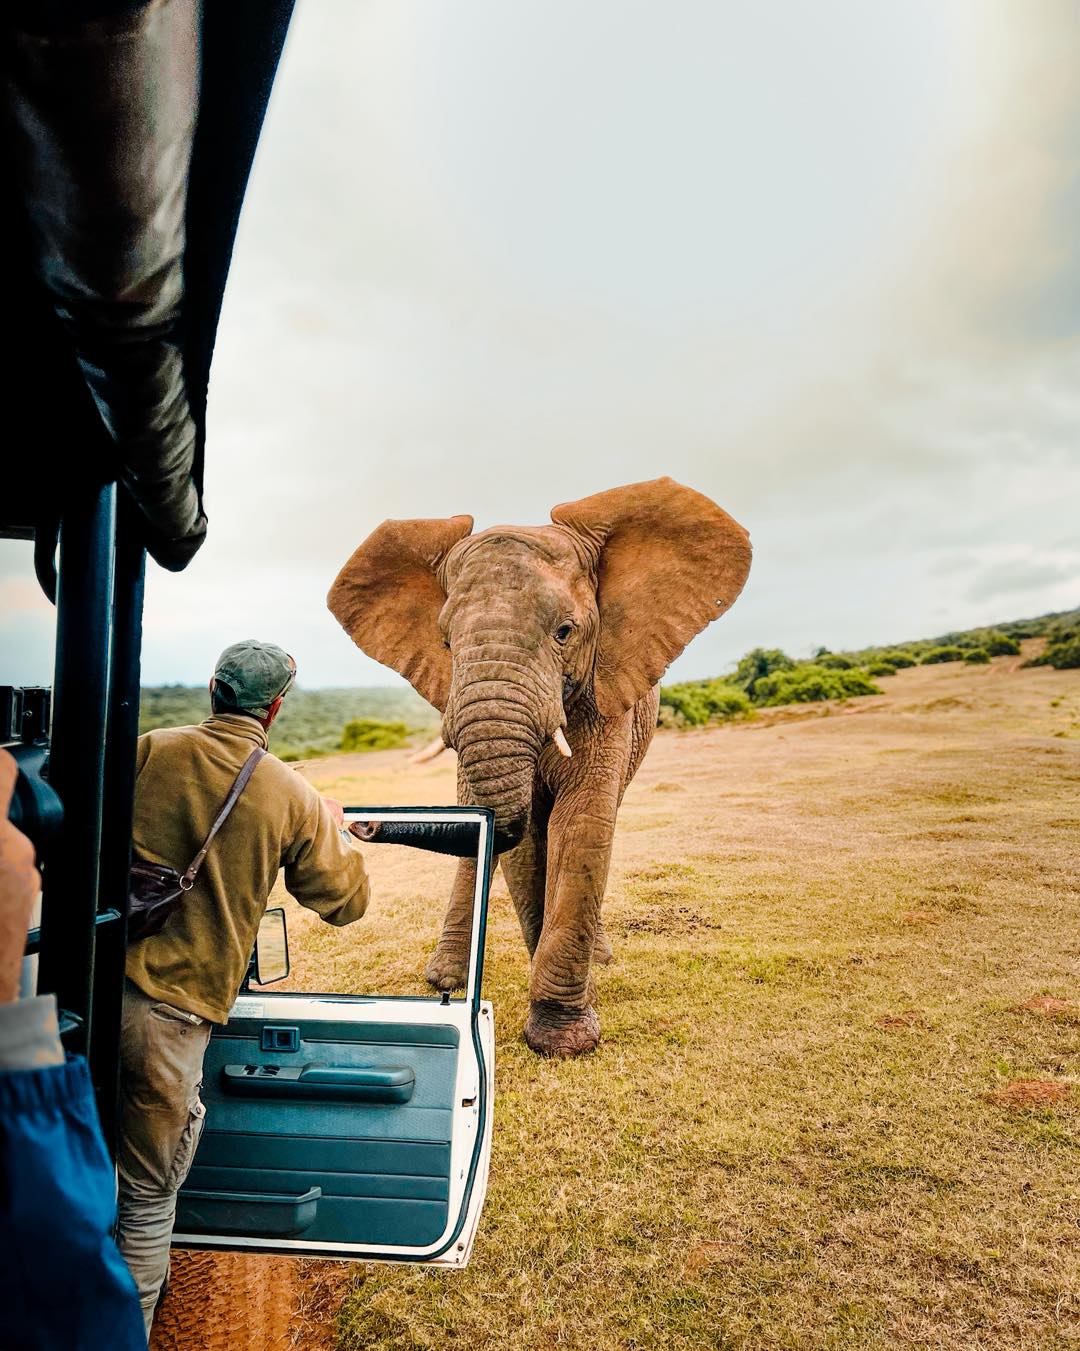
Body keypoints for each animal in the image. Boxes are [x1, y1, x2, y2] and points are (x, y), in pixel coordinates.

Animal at [327, 477, 751, 1056]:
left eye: (565, 632)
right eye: (445, 643)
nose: (362, 823)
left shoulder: (606, 690)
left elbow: (581, 825)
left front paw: (561, 1038)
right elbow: (526, 842)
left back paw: (598, 958)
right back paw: (445, 979)